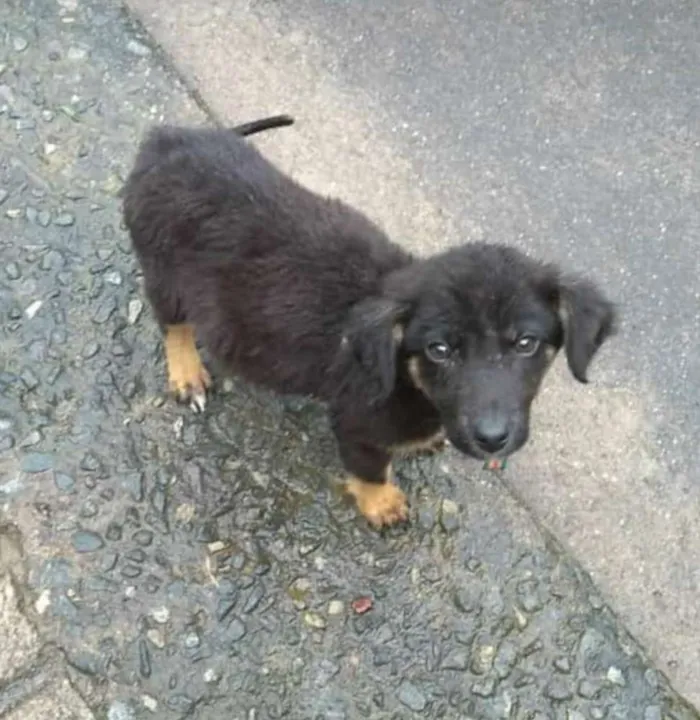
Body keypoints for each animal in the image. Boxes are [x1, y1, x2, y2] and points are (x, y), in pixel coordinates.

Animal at [123, 115, 616, 524]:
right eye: (439, 350)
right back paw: (187, 374)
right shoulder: (355, 423)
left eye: (526, 343)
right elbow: (371, 468)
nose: (492, 439)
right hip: (165, 274)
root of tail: (167, 141)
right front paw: (381, 504)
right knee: (173, 326)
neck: (407, 378)